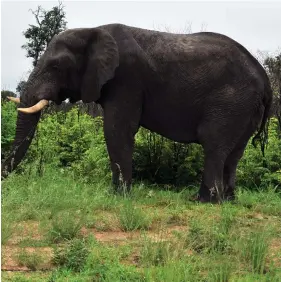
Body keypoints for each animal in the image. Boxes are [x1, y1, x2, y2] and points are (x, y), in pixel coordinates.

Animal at [1, 22, 272, 203]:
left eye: (56, 66)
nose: (6, 182)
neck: (93, 30)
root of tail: (265, 79)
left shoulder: (127, 78)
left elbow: (116, 129)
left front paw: (118, 196)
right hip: (244, 107)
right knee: (234, 152)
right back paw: (228, 200)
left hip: (231, 100)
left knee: (214, 143)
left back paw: (204, 201)